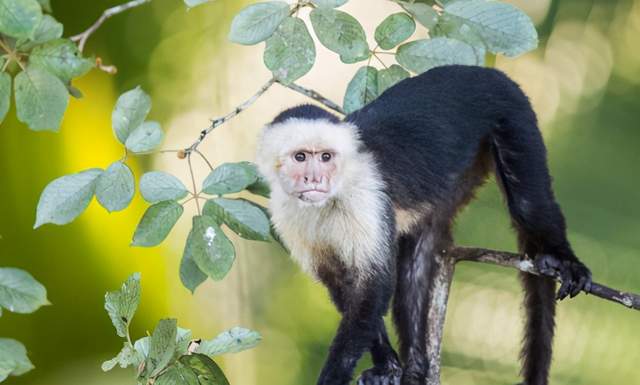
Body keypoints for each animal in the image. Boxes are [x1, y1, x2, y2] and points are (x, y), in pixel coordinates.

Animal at [254, 66, 592, 384]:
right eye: (301, 157)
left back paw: (564, 260)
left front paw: (335, 377)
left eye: (325, 157)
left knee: (529, 205)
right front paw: (387, 366)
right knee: (417, 255)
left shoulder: (365, 198)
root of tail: (486, 71)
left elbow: (372, 289)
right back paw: (416, 366)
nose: (315, 179)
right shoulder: (284, 213)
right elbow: (343, 283)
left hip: (513, 116)